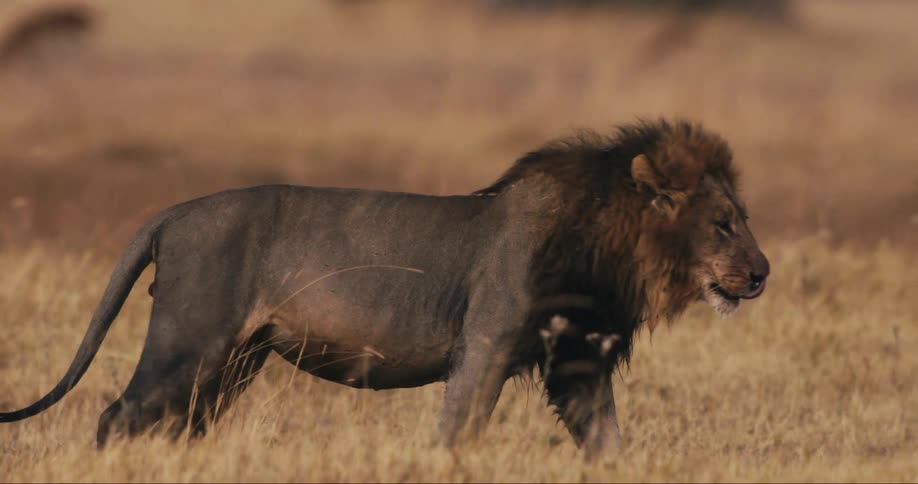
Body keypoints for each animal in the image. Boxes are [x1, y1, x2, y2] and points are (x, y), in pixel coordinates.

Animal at [0, 119, 769, 454]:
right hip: (189, 342)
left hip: (234, 361)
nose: (762, 274)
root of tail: (173, 212)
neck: (609, 249)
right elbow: (459, 430)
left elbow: (608, 440)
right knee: (117, 417)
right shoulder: (487, 341)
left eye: (742, 219)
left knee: (174, 424)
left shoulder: (578, 361)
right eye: (723, 224)